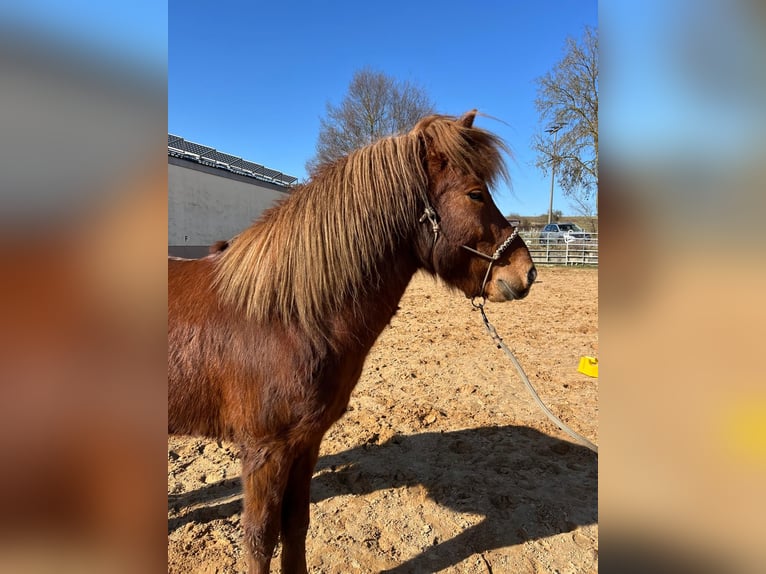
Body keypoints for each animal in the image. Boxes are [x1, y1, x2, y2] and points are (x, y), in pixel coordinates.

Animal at [168, 110, 537, 573]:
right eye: (475, 194)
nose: (526, 272)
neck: (286, 318)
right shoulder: (264, 451)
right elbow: (259, 538)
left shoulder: (305, 444)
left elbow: (296, 525)